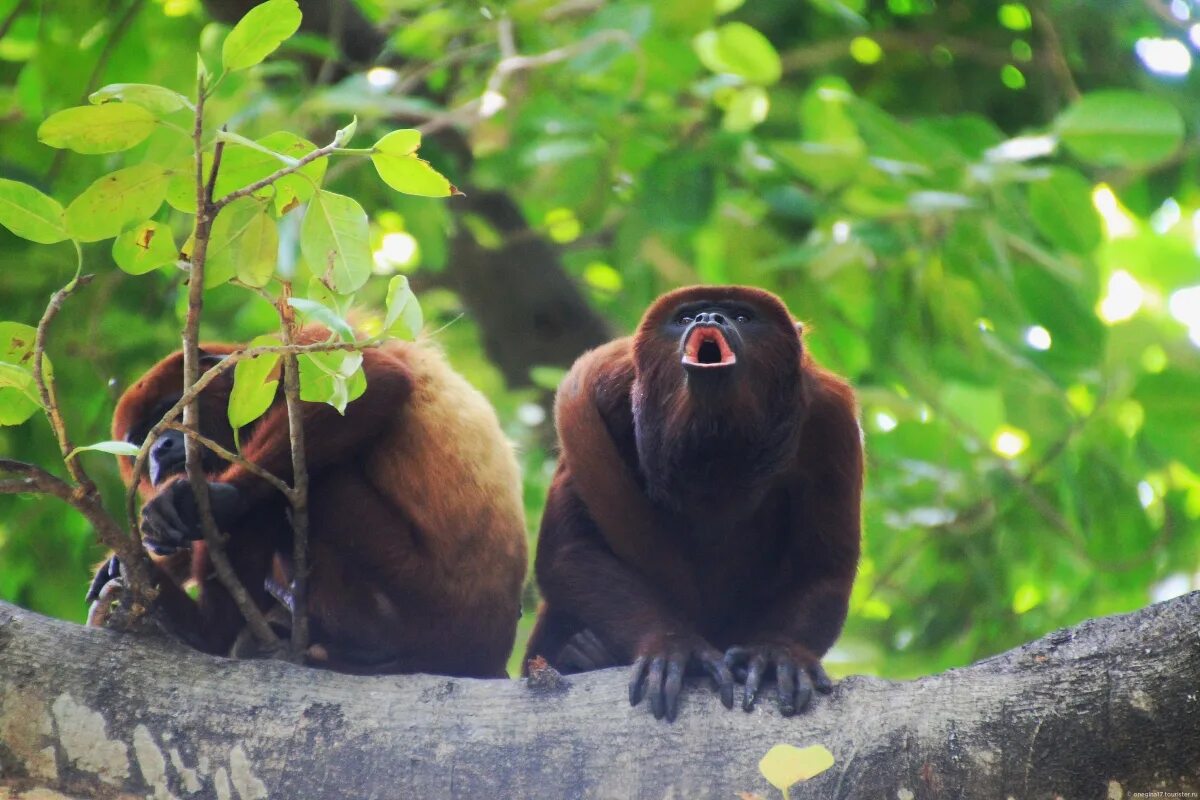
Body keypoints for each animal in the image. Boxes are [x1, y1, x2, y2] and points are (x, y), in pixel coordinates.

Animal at [87, 328, 528, 681]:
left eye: (168, 415)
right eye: (139, 443)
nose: (159, 450)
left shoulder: (284, 352)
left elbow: (379, 379)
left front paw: (207, 499)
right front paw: (132, 555)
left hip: (415, 596)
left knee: (309, 485)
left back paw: (211, 630)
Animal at [525, 286, 864, 719]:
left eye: (742, 317)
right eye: (685, 318)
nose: (709, 317)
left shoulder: (830, 416)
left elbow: (823, 567)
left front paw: (778, 653)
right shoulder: (614, 395)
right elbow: (570, 550)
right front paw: (674, 645)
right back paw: (585, 656)